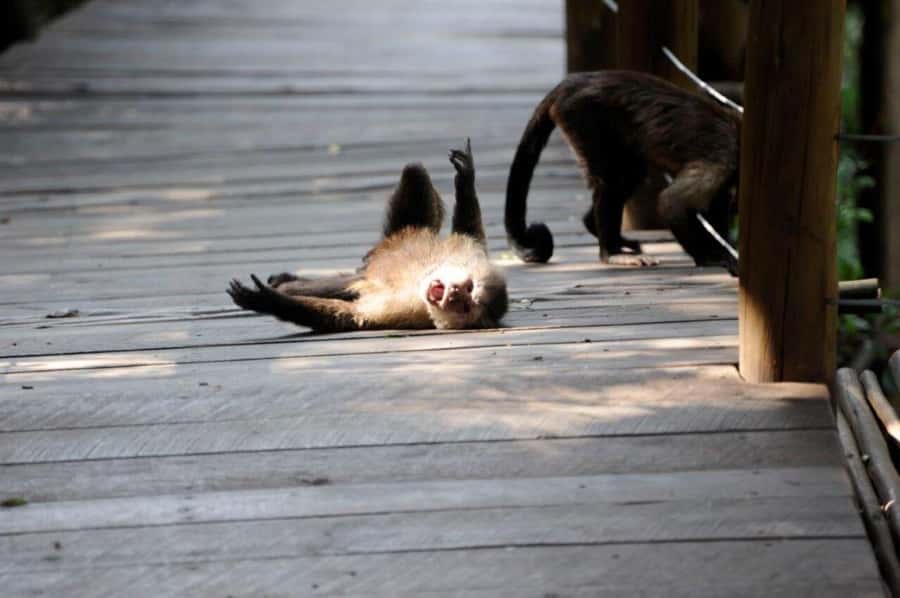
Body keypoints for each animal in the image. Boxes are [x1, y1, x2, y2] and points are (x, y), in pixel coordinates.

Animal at [227, 139, 508, 332]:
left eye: (465, 306)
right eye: (467, 288)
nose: (453, 293)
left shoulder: (403, 313)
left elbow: (347, 316)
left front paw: (268, 300)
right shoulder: (467, 252)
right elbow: (468, 231)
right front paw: (465, 179)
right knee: (414, 173)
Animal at [504, 70, 740, 275]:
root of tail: (573, 82)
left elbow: (716, 207)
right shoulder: (723, 159)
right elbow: (671, 203)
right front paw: (712, 258)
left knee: (629, 175)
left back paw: (601, 230)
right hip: (582, 116)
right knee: (615, 181)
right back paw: (611, 252)